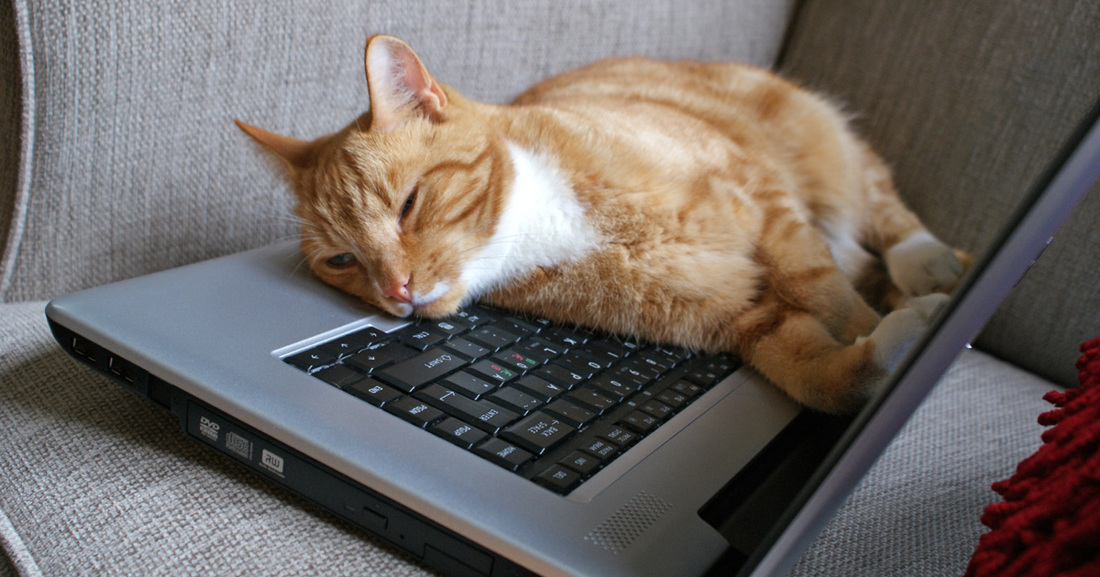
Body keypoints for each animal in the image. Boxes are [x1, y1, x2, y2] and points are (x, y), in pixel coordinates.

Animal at [236, 34, 968, 413]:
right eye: (343, 262)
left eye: (409, 203)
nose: (397, 291)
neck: (547, 221)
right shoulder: (744, 320)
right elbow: (822, 376)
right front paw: (894, 345)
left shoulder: (758, 193)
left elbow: (824, 290)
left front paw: (888, 324)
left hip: (816, 146)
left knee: (884, 214)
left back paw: (933, 265)